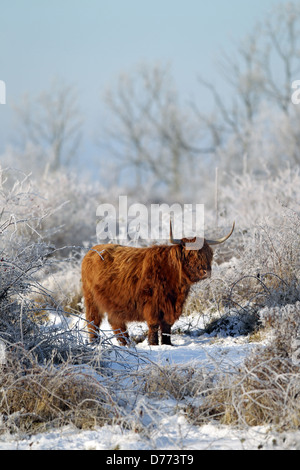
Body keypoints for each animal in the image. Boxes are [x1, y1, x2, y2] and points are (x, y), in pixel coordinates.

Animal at [81, 220, 234, 346]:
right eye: (190, 254)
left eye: (208, 253)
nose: (206, 271)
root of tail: (92, 251)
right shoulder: (152, 305)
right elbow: (154, 326)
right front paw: (153, 344)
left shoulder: (171, 307)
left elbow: (166, 328)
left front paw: (168, 344)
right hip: (91, 299)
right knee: (93, 321)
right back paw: (95, 343)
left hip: (114, 304)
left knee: (116, 322)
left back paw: (125, 343)